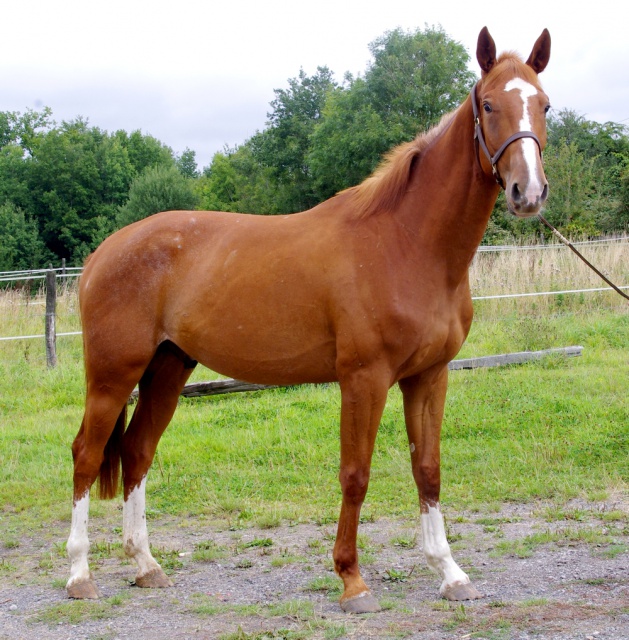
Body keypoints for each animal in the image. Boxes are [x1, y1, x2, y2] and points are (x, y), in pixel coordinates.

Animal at [66, 27, 548, 612]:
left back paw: (146, 565)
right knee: (87, 454)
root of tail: (102, 253)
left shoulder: (428, 377)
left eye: (545, 104)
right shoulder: (364, 379)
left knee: (137, 452)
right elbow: (356, 474)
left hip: (167, 368)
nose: (528, 192)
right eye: (489, 104)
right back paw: (79, 575)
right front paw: (352, 580)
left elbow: (427, 469)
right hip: (113, 375)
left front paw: (450, 573)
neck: (408, 245)